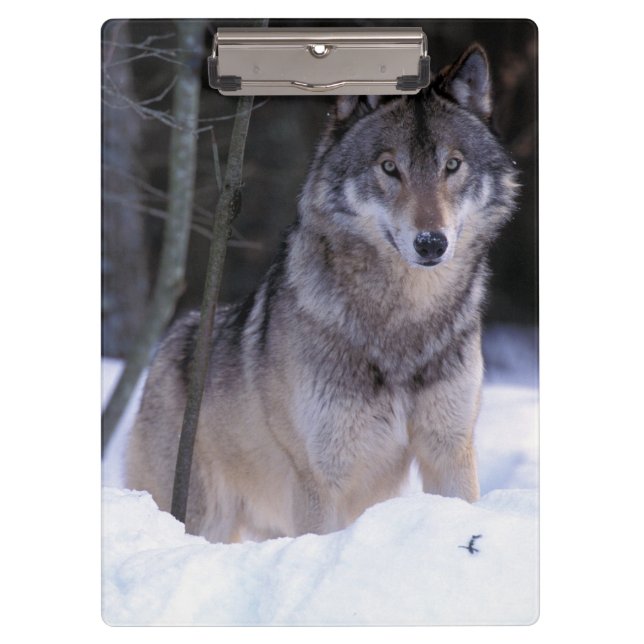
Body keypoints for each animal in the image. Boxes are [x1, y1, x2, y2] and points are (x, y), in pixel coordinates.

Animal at [125, 44, 519, 543]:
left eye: (452, 165)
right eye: (389, 167)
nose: (432, 243)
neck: (404, 323)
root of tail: (168, 343)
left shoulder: (450, 450)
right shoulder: (320, 477)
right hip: (205, 517)